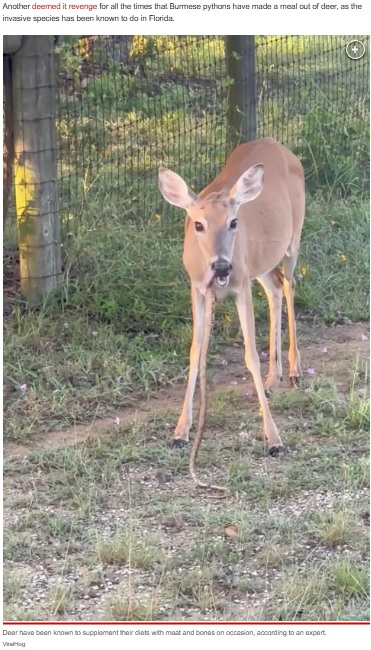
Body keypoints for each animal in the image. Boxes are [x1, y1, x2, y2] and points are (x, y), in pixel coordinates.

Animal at [158, 137, 306, 486]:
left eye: (233, 222)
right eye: (198, 224)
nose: (222, 266)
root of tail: (278, 144)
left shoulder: (240, 286)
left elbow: (250, 354)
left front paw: (274, 439)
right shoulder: (197, 289)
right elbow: (195, 352)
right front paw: (180, 432)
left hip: (292, 239)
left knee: (290, 284)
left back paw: (294, 370)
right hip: (261, 263)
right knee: (276, 287)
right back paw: (273, 378)